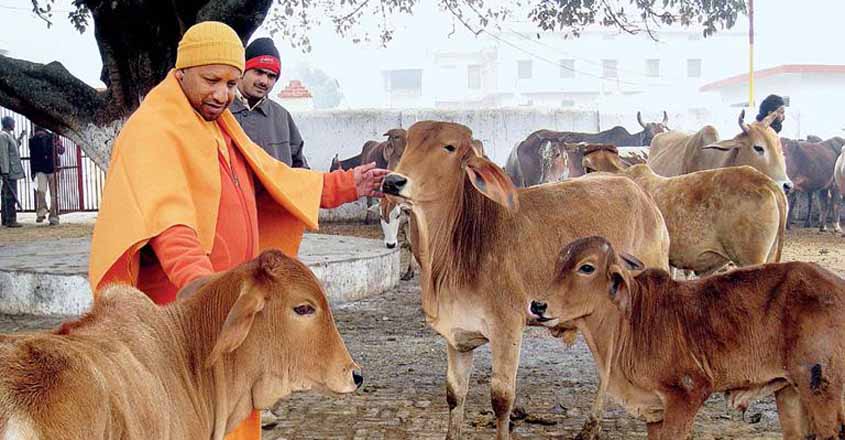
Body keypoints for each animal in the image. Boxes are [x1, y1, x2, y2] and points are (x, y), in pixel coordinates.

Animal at [380, 120, 670, 440]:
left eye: (449, 147)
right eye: (408, 143)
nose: (393, 181)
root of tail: (641, 195)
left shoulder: (507, 328)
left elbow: (501, 399)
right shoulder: (457, 335)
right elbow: (455, 395)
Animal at [529, 236, 845, 440]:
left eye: (586, 267)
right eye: (558, 264)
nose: (538, 305)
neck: (629, 323)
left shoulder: (687, 393)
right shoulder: (655, 411)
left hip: (821, 387)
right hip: (790, 391)